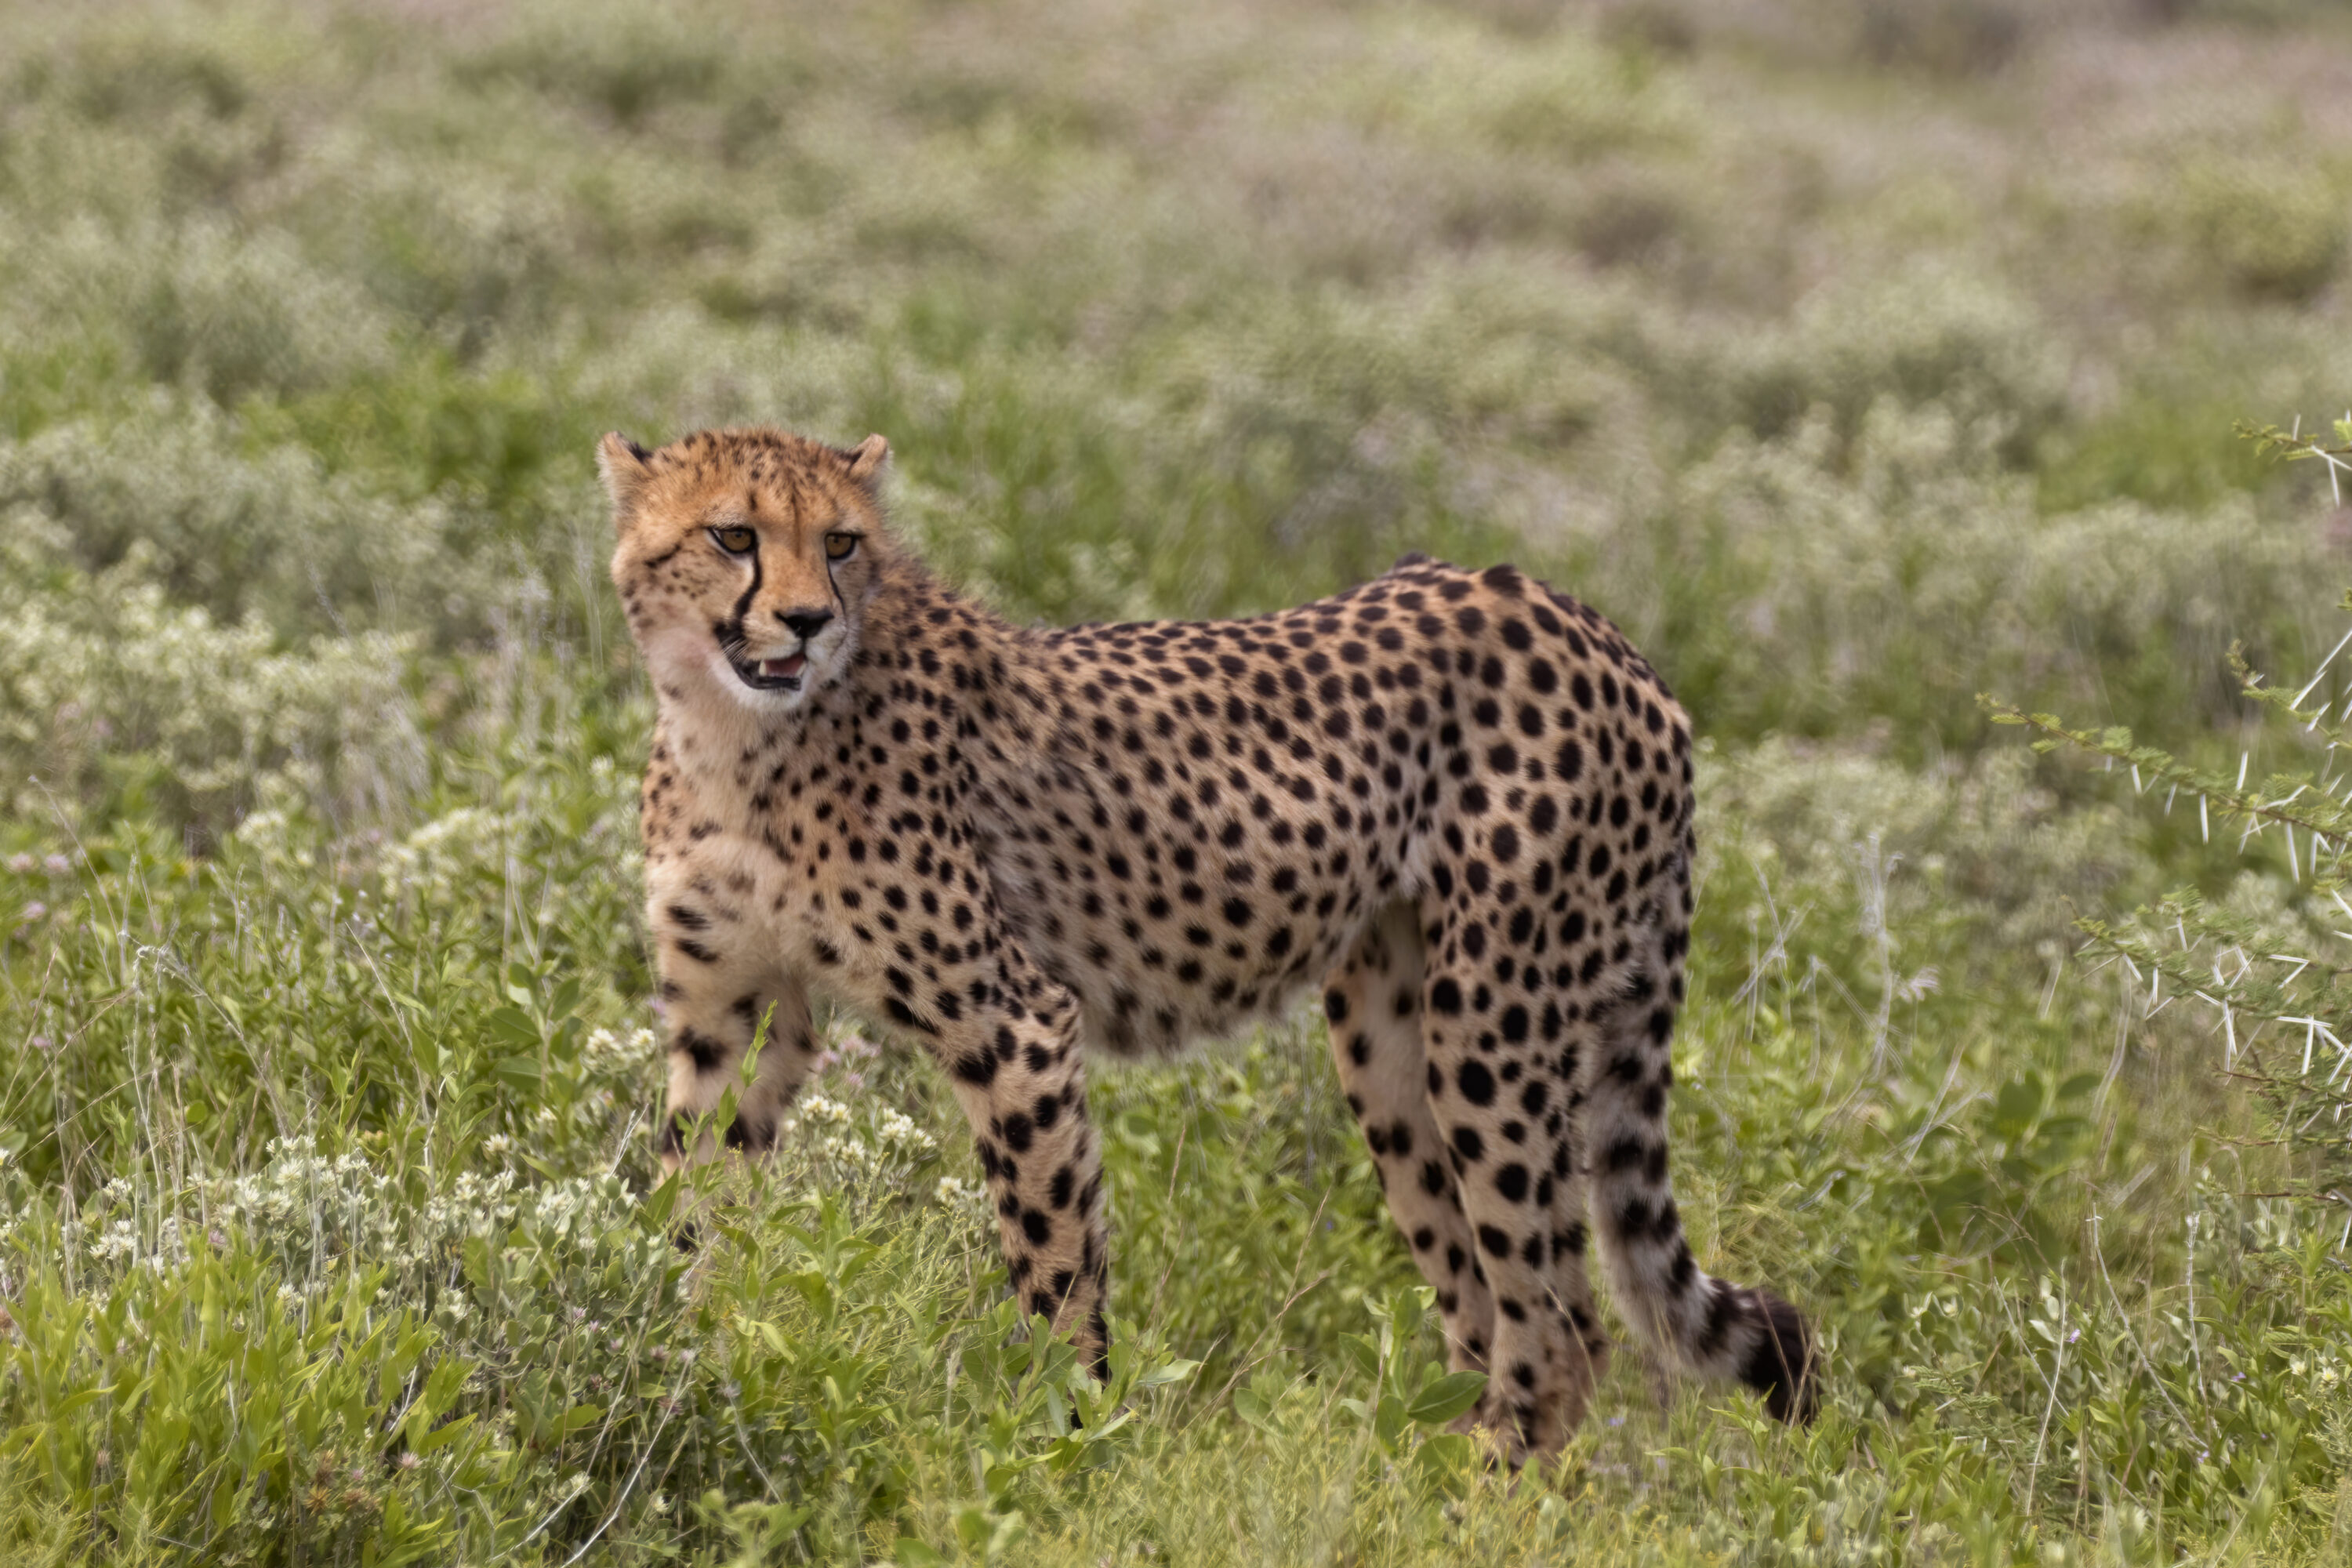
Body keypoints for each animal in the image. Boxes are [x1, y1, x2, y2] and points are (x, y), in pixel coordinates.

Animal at [601, 423, 1816, 1459]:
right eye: (734, 535)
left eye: (842, 544)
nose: (807, 620)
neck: (735, 732)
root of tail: (1597, 627)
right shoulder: (732, 1018)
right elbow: (690, 1207)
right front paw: (673, 1368)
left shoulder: (1017, 1024)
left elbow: (1053, 1263)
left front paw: (1066, 1448)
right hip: (1391, 1049)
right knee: (1488, 1309)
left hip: (1495, 1025)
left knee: (1563, 1328)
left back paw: (1479, 1500)